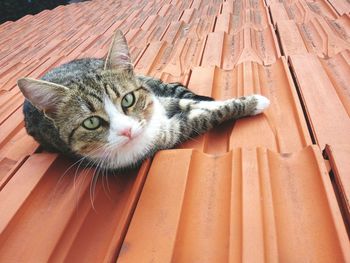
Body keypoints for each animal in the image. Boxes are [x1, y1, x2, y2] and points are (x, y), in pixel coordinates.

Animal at [17, 30, 270, 171]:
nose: (127, 131)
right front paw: (253, 102)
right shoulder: (170, 134)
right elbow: (206, 116)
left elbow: (190, 104)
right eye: (91, 123)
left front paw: (210, 101)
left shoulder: (158, 102)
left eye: (128, 100)